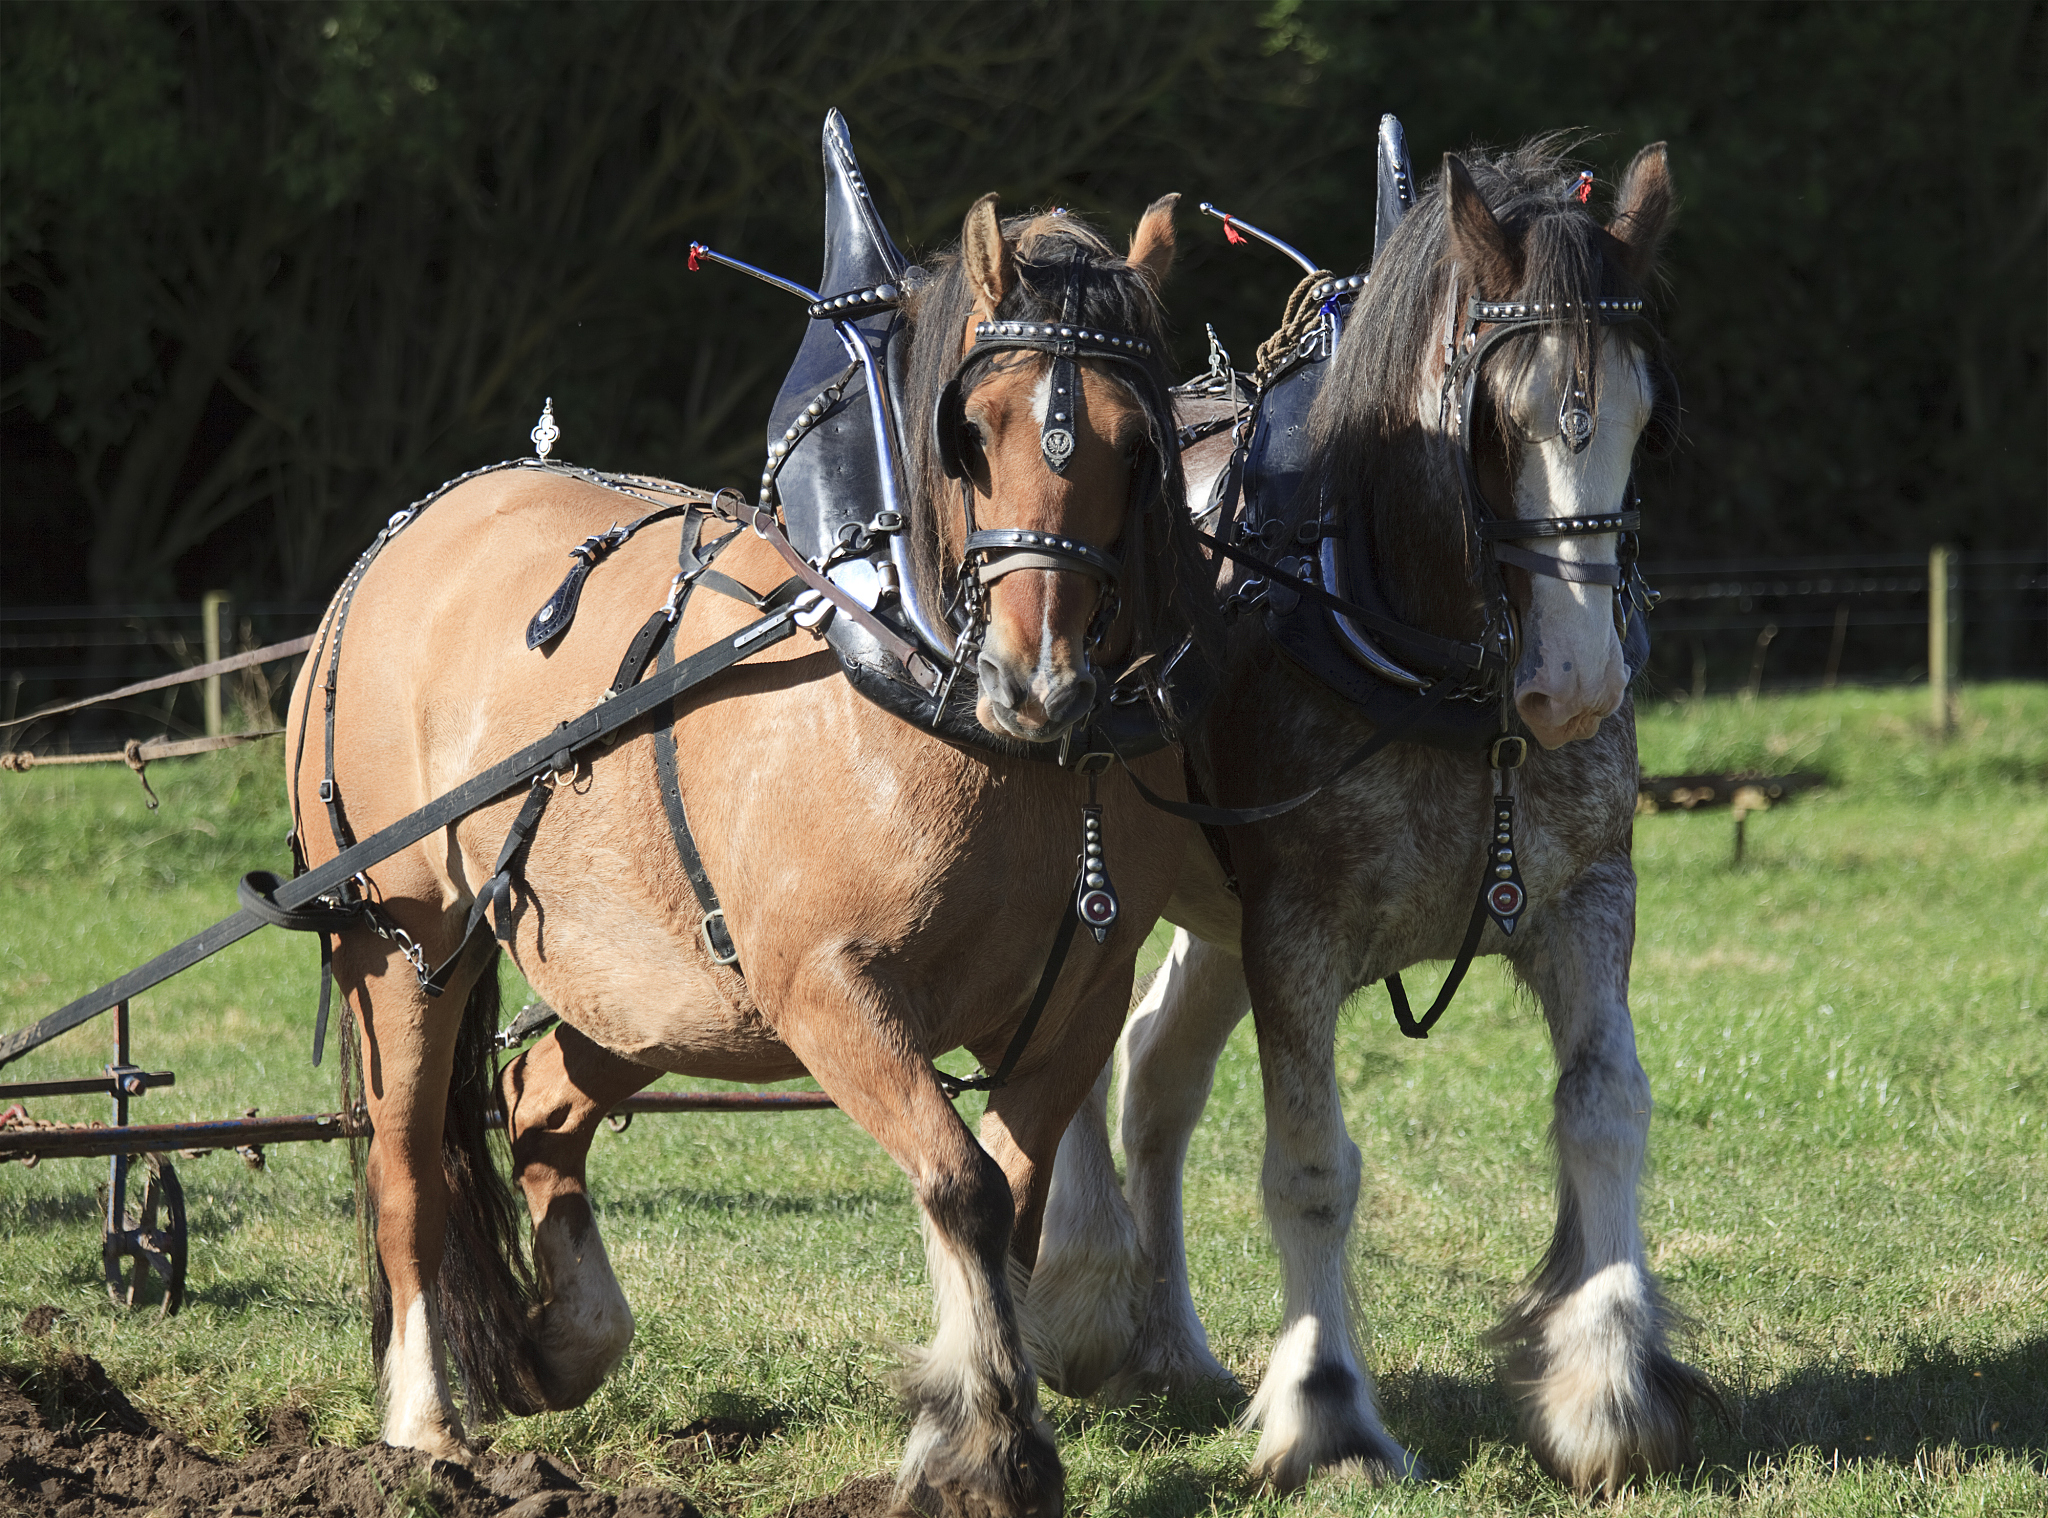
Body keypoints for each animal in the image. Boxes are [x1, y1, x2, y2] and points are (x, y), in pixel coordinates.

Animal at [283, 187, 1217, 1518]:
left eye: (1137, 445)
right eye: (971, 432)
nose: (1038, 683)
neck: (933, 696)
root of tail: (413, 532)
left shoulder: (1075, 1003)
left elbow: (1013, 1203)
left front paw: (981, 1420)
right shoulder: (829, 990)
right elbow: (963, 1187)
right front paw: (986, 1445)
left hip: (659, 990)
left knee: (540, 1100)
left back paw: (567, 1339)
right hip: (404, 943)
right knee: (408, 1167)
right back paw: (426, 1427)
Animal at [1033, 138, 1718, 1496]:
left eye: (1647, 421)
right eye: (1489, 423)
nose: (1574, 686)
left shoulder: (1584, 898)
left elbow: (1604, 1108)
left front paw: (1607, 1385)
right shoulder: (1293, 931)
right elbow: (1310, 1169)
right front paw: (1326, 1413)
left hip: (1214, 920)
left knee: (1152, 1078)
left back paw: (1168, 1342)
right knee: (1077, 1063)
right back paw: (1083, 1303)